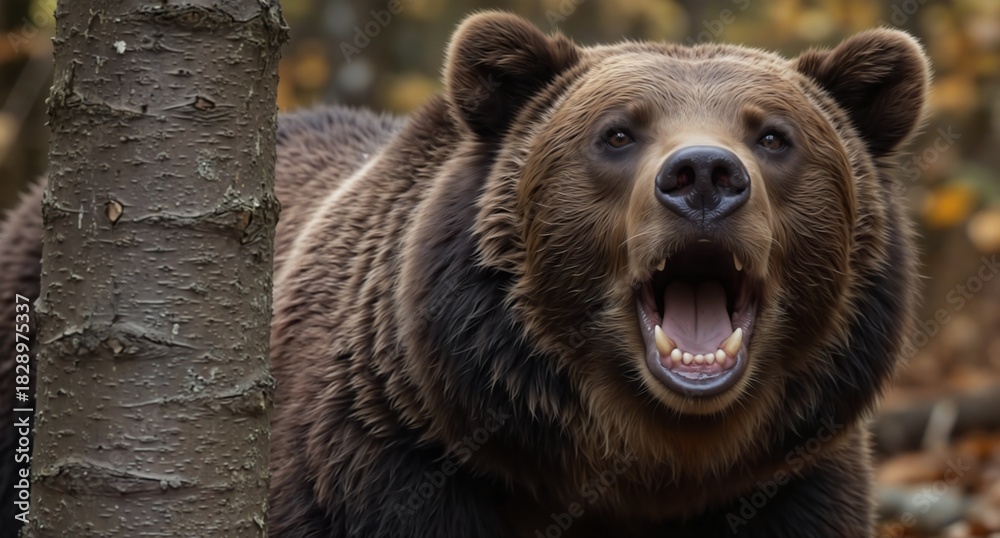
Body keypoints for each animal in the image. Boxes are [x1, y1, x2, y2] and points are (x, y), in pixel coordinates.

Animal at [0, 11, 930, 538]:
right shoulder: (388, 468)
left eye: (774, 135)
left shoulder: (787, 487)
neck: (638, 467)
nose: (703, 174)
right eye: (617, 133)